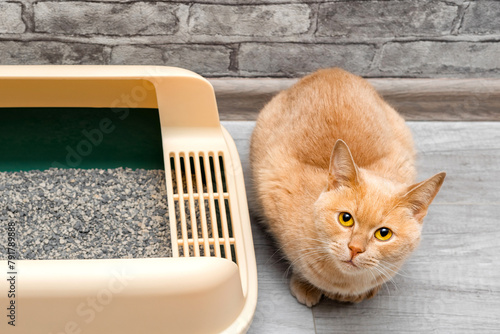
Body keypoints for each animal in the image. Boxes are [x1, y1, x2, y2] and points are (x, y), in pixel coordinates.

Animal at [250, 69, 446, 306]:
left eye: (383, 234)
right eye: (346, 218)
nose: (355, 248)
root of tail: (332, 70)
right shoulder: (273, 186)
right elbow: (297, 261)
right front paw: (305, 284)